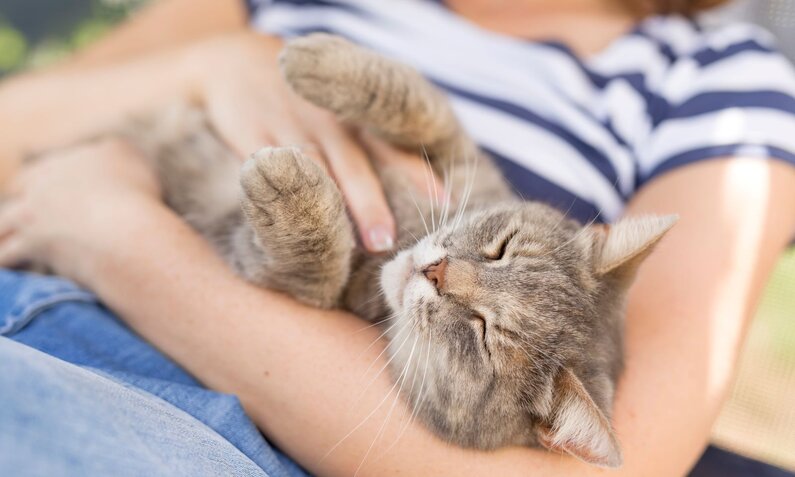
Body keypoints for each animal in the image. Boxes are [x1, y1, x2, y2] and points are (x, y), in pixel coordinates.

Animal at [121, 34, 676, 468]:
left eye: (483, 335)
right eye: (501, 248)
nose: (435, 270)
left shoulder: (289, 280)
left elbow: (310, 267)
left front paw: (290, 190)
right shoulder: (460, 158)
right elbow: (422, 105)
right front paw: (316, 60)